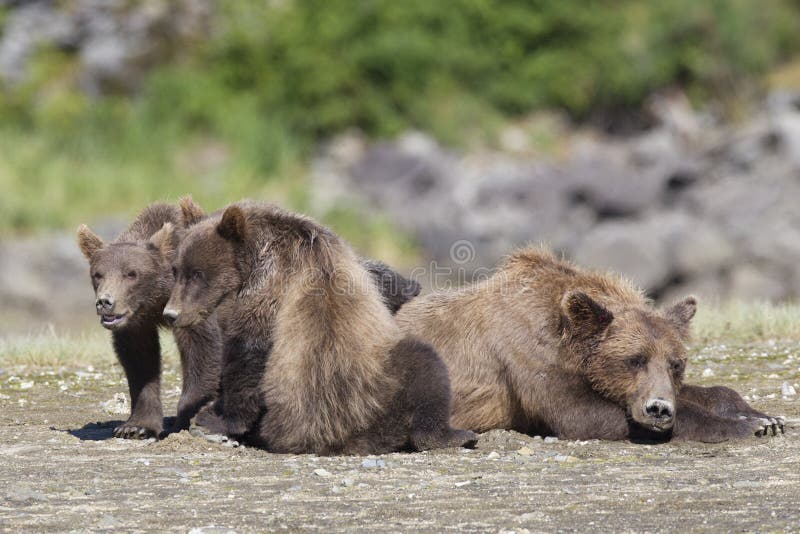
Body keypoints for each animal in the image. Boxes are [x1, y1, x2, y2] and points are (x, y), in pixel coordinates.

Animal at [77, 198, 223, 438]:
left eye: (131, 273)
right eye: (98, 274)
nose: (105, 302)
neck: (156, 301)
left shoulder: (194, 302)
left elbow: (201, 348)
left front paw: (185, 419)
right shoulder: (135, 323)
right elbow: (140, 361)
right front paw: (135, 426)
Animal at [163, 199, 477, 454]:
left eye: (197, 274)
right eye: (176, 270)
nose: (171, 313)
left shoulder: (268, 287)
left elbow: (248, 352)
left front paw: (218, 418)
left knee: (425, 360)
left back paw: (456, 435)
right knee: (426, 366)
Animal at [395, 246, 785, 442]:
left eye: (676, 364)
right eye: (634, 359)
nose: (658, 409)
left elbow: (707, 391)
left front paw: (765, 417)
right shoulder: (527, 356)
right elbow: (582, 414)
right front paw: (744, 426)